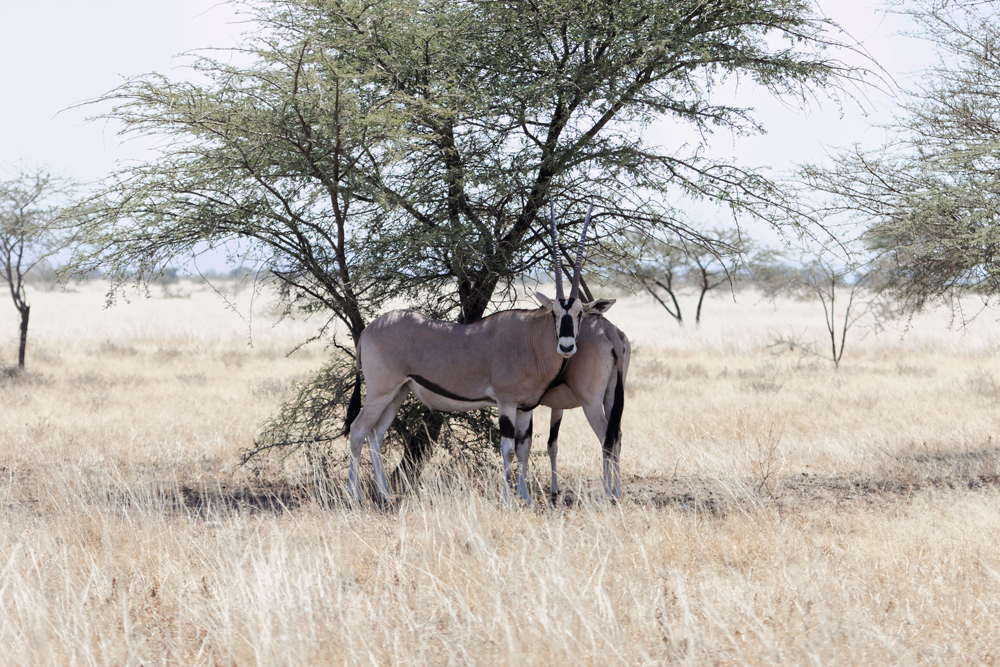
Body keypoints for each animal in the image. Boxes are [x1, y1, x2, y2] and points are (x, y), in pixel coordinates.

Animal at [344, 201, 624, 504]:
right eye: (555, 313)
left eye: (580, 313)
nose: (567, 346)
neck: (530, 339)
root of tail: (368, 331)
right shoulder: (505, 403)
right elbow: (507, 449)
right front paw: (508, 499)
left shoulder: (524, 407)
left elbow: (523, 448)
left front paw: (525, 498)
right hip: (380, 391)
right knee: (358, 431)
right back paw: (354, 495)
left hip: (397, 392)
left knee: (376, 434)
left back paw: (385, 494)